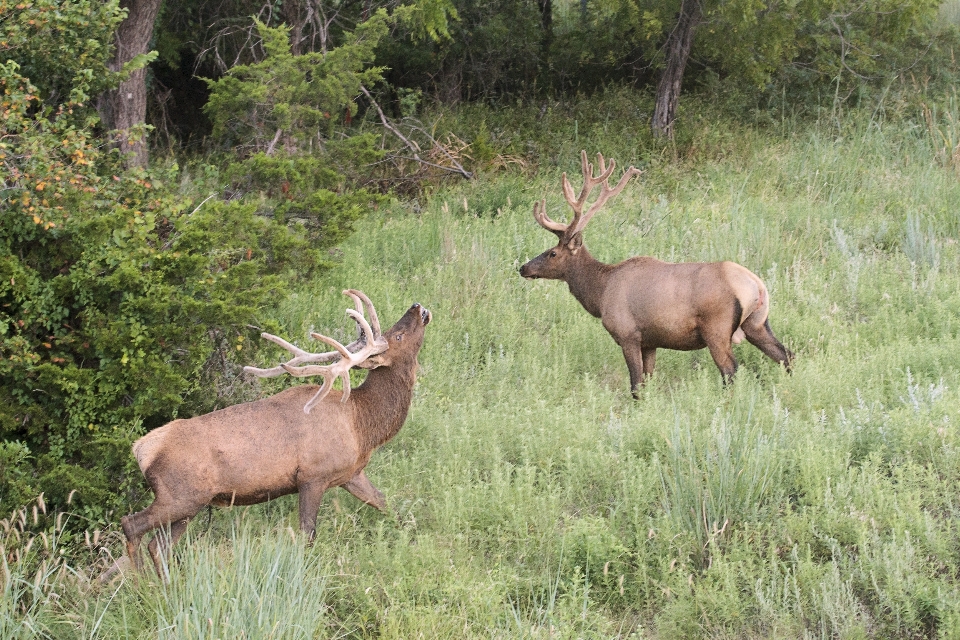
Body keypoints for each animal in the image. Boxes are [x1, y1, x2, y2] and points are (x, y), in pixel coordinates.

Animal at [120, 290, 432, 576]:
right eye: (398, 336)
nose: (418, 307)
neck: (362, 424)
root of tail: (141, 449)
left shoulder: (350, 475)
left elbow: (387, 505)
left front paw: (409, 536)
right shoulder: (312, 476)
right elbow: (307, 535)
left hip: (190, 504)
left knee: (158, 545)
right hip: (179, 495)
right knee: (131, 525)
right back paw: (142, 585)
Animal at [520, 152, 792, 396]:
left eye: (552, 253)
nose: (523, 267)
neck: (600, 293)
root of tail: (756, 285)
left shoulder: (628, 334)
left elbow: (635, 384)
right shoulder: (651, 342)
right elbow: (648, 381)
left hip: (717, 327)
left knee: (730, 369)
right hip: (757, 322)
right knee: (785, 354)